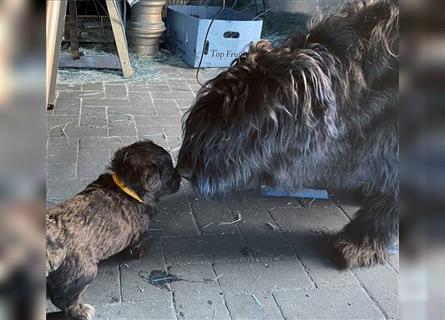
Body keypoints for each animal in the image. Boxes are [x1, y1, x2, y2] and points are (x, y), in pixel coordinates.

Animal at [46, 141, 180, 318]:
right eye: (170, 172)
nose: (180, 177)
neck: (126, 186)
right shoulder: (139, 234)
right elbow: (137, 245)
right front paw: (140, 253)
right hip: (83, 272)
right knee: (63, 299)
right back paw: (82, 310)